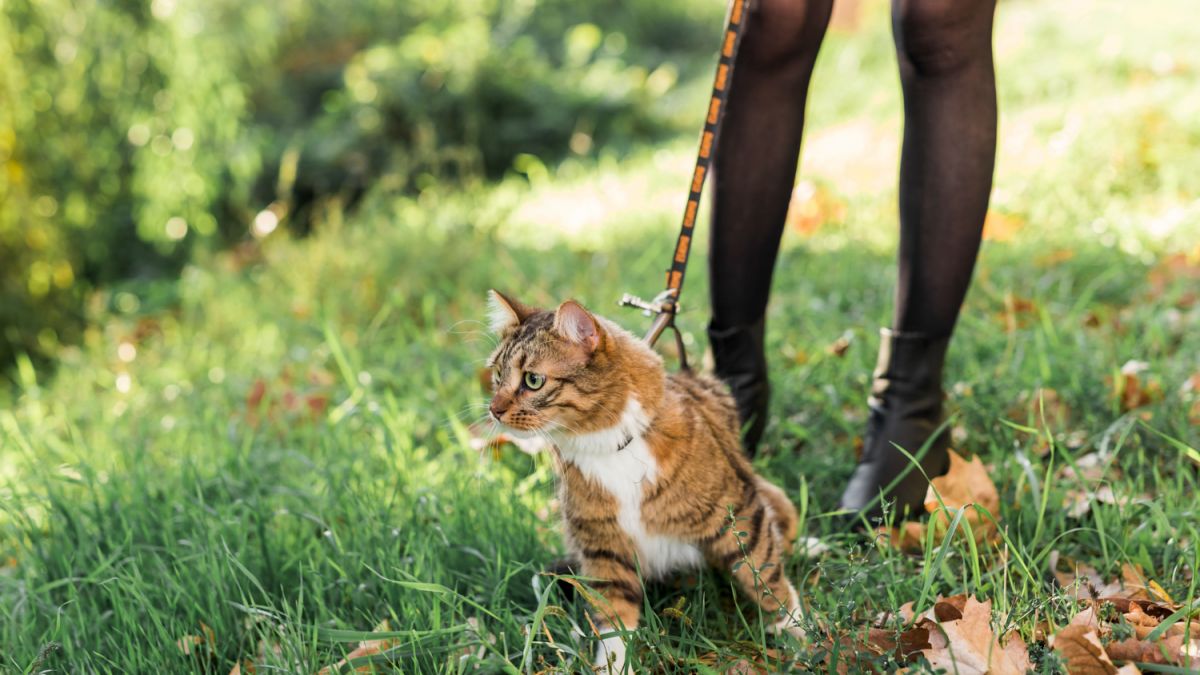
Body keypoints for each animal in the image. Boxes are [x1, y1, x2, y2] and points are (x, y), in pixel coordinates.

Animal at [482, 290, 801, 672]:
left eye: (532, 380)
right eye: (497, 375)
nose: (493, 410)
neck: (605, 446)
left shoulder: (737, 512)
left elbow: (764, 572)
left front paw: (797, 630)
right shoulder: (603, 547)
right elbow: (613, 620)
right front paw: (615, 665)